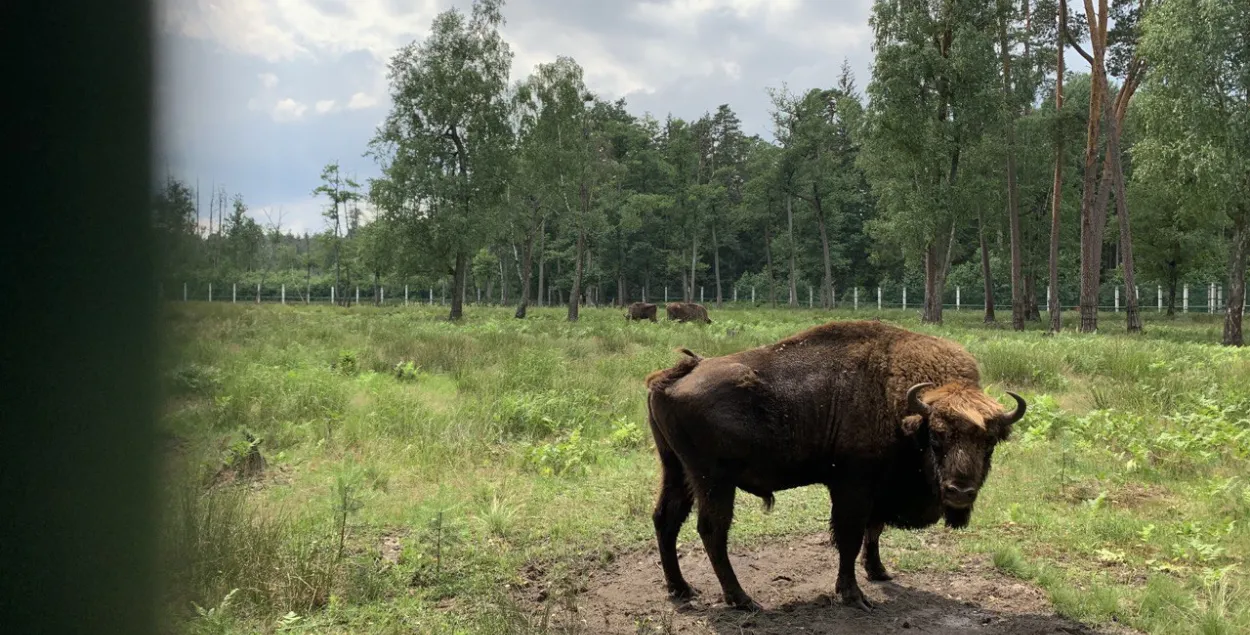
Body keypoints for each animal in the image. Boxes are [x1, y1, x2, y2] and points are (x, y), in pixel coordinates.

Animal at [645, 320, 1025, 612]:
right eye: (937, 437)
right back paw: (742, 599)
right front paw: (854, 596)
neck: (901, 405)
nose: (959, 492)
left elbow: (874, 530)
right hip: (714, 481)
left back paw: (681, 588)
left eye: (989, 443)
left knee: (666, 519)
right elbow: (849, 538)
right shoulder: (852, 486)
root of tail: (674, 375)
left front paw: (879, 572)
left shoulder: (877, 490)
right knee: (712, 531)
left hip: (676, 470)